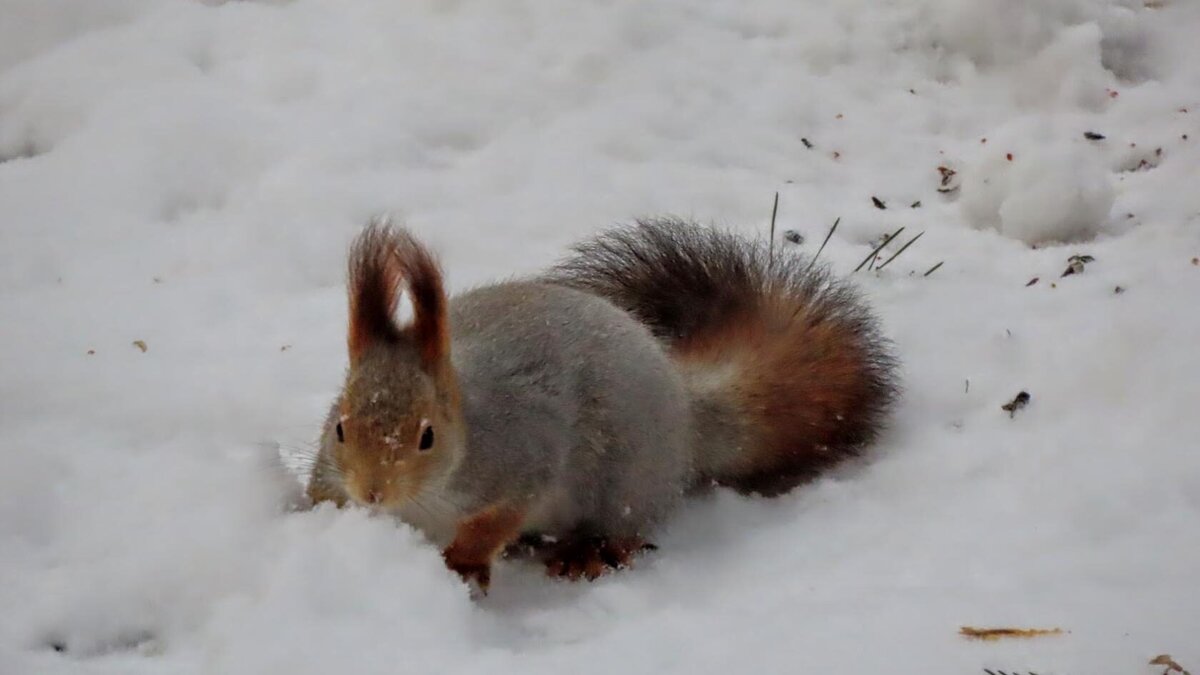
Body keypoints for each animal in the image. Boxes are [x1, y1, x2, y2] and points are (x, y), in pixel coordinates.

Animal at [304, 216, 897, 588]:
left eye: (427, 436)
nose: (373, 493)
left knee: (626, 526)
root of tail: (685, 413)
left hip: (626, 479)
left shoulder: (523, 455)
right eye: (339, 427)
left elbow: (500, 516)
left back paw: (588, 552)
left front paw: (465, 563)